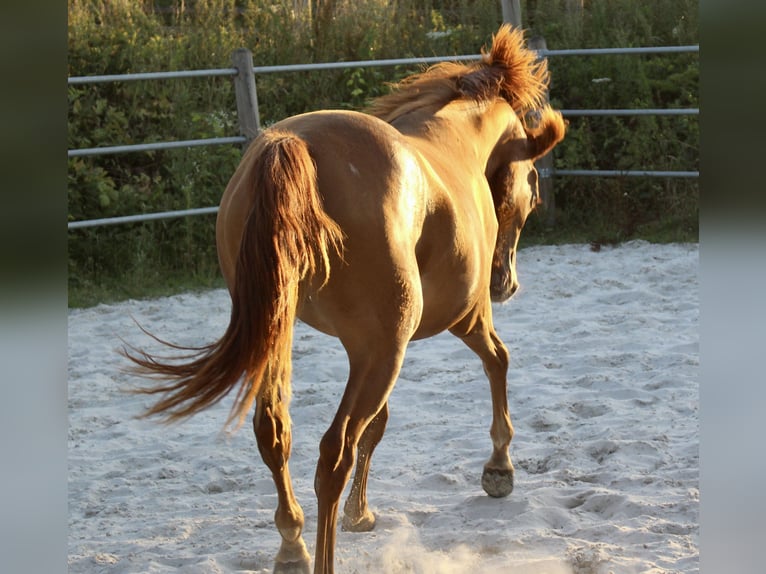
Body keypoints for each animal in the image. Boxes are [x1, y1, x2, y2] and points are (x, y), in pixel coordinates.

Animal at [126, 25, 566, 574]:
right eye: (534, 188)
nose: (505, 284)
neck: (456, 144)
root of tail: (291, 146)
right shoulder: (460, 319)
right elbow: (497, 361)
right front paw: (499, 468)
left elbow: (377, 426)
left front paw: (361, 512)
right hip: (379, 352)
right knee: (334, 452)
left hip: (282, 333)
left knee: (276, 433)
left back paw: (292, 545)